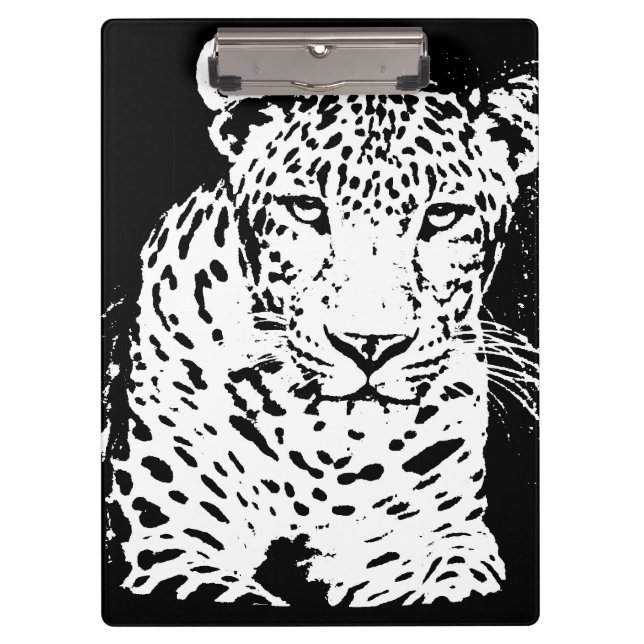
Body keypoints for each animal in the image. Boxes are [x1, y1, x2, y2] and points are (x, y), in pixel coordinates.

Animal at [104, 40, 538, 608]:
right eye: (307, 208)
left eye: (442, 215)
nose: (370, 344)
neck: (324, 440)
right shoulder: (173, 544)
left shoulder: (429, 535)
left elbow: (456, 580)